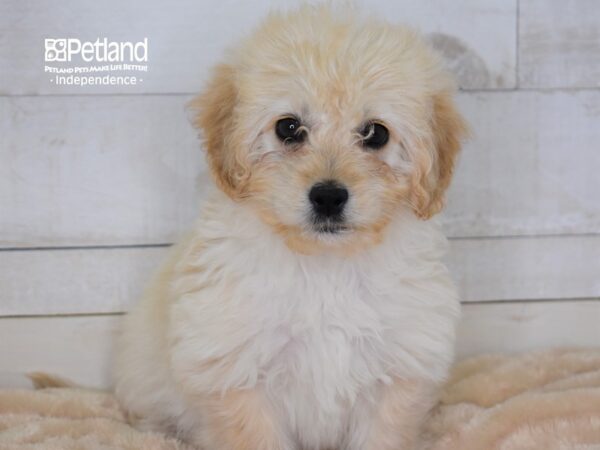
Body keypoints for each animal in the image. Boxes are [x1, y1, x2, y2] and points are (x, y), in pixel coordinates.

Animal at [115, 4, 466, 450]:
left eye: (375, 133)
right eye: (289, 127)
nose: (329, 197)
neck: (325, 267)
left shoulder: (398, 372)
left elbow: (383, 431)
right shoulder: (236, 371)